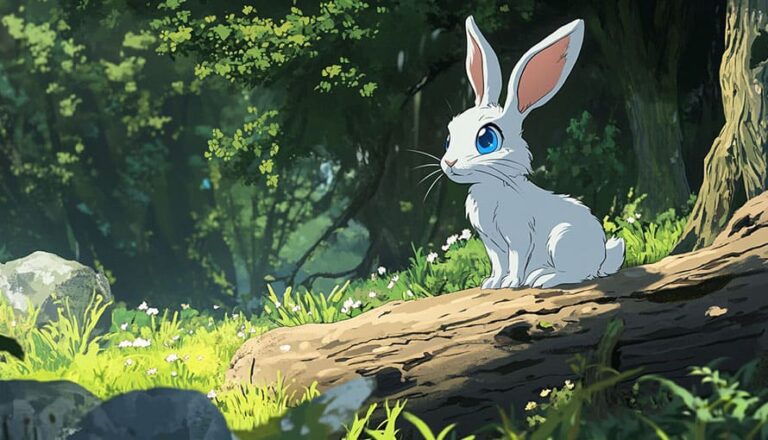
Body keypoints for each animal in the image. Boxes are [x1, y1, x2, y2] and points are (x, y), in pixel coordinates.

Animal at [440, 16, 625, 289]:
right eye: (449, 137)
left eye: (486, 140)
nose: (449, 162)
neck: (493, 187)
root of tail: (601, 258)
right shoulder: (492, 243)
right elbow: (498, 263)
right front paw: (492, 283)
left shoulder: (518, 235)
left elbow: (516, 259)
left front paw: (511, 283)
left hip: (562, 241)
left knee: (577, 273)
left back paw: (542, 278)